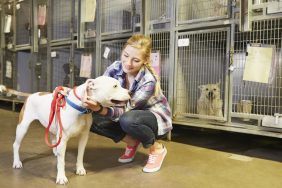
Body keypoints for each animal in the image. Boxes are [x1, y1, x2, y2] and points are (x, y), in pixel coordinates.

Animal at [0, 76, 130, 184]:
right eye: (115, 86)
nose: (130, 92)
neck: (81, 109)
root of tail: (32, 94)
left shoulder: (84, 137)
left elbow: (80, 155)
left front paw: (80, 169)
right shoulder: (63, 139)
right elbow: (61, 162)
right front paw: (61, 177)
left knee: (53, 140)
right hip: (23, 127)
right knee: (16, 145)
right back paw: (17, 162)